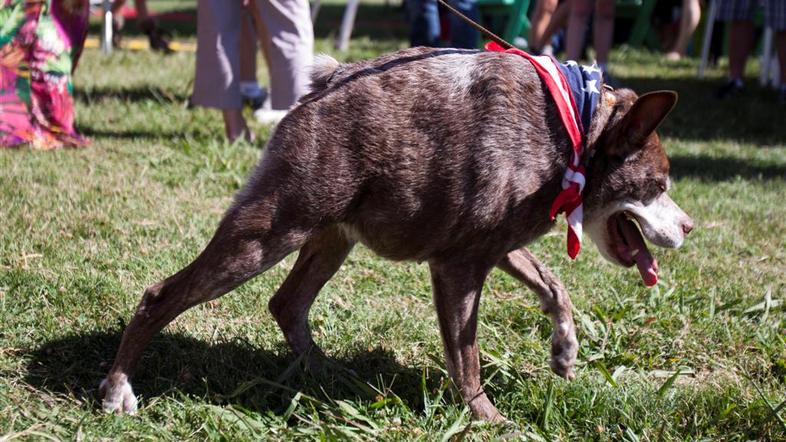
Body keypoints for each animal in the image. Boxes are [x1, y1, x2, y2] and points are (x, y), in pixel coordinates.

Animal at [99, 47, 692, 422]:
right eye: (659, 185)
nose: (689, 225)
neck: (577, 131)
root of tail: (327, 83)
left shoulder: (493, 247)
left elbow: (553, 286)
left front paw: (565, 351)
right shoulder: (458, 267)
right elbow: (466, 356)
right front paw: (488, 418)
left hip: (329, 238)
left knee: (287, 302)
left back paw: (327, 375)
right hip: (267, 235)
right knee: (162, 296)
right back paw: (118, 390)